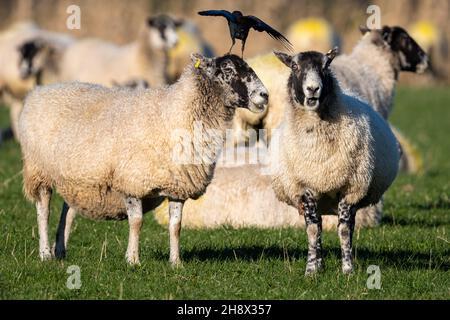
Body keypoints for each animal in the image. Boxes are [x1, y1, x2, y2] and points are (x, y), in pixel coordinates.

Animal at [18, 53, 268, 264]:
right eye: (228, 69)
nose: (264, 95)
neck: (175, 112)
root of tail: (39, 91)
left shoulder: (178, 185)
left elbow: (176, 226)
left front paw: (176, 263)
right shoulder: (132, 181)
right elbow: (136, 222)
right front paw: (133, 260)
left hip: (76, 178)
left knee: (67, 212)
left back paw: (60, 250)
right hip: (39, 170)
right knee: (43, 211)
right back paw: (45, 254)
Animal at [268, 48, 400, 274]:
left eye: (326, 65)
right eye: (294, 66)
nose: (313, 89)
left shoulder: (350, 188)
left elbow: (344, 231)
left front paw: (348, 269)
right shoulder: (306, 188)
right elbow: (313, 230)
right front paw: (311, 270)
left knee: (347, 225)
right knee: (319, 224)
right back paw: (319, 264)